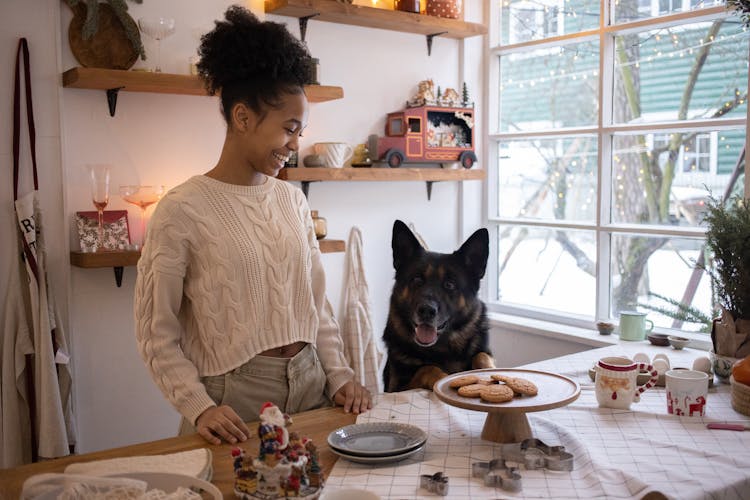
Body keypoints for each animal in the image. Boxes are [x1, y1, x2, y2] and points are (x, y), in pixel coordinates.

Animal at [384, 221, 496, 392]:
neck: (443, 348)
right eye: (417, 279)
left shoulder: (482, 351)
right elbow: (427, 368)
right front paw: (443, 378)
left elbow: (481, 355)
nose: (426, 311)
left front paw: (490, 371)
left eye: (449, 284)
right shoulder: (396, 387)